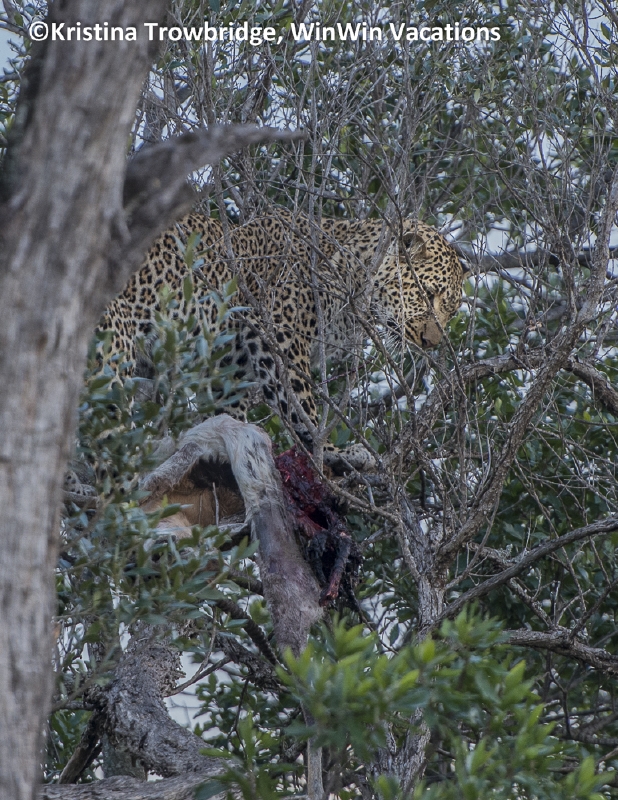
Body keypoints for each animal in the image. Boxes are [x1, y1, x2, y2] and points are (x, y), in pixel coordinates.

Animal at [98, 209, 467, 469]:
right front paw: (334, 452)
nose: (431, 342)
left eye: (450, 312)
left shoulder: (229, 371)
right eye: (427, 294)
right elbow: (303, 409)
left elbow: (226, 416)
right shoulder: (280, 335)